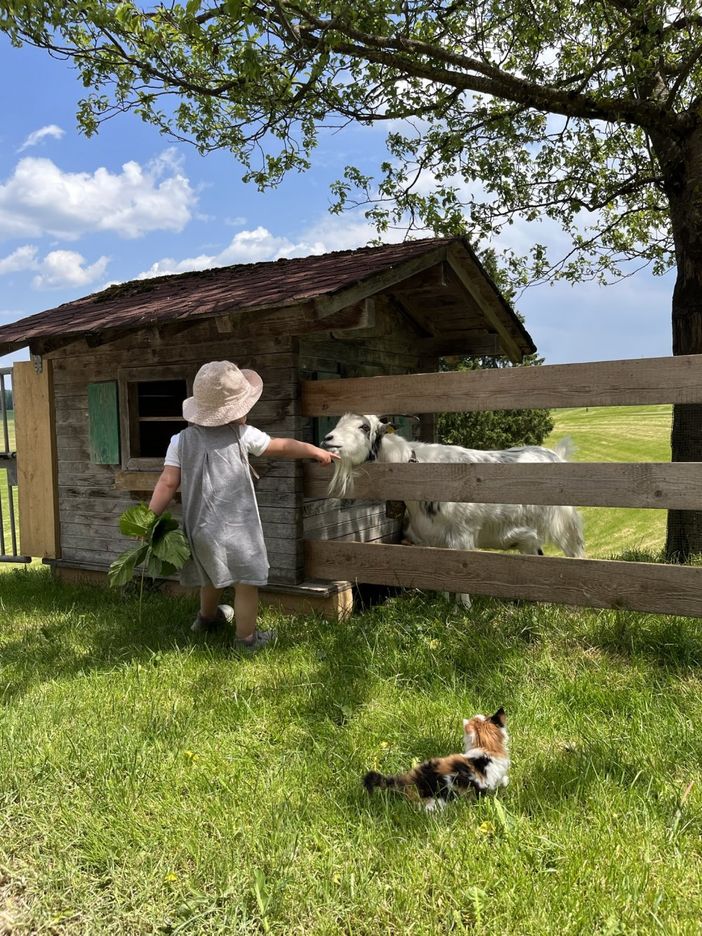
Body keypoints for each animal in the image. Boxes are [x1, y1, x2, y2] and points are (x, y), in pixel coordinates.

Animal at [322, 414, 584, 608]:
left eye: (364, 427)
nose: (327, 439)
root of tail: (556, 454)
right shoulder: (436, 540)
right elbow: (444, 575)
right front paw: (445, 603)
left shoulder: (462, 535)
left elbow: (461, 577)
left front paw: (464, 609)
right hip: (529, 534)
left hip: (564, 524)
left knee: (575, 555)